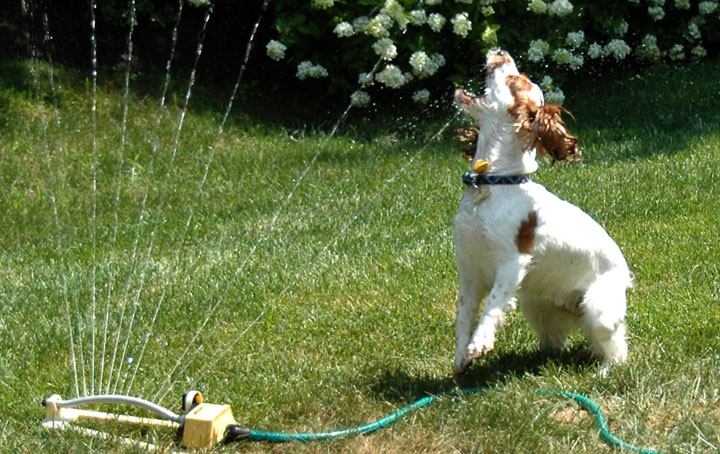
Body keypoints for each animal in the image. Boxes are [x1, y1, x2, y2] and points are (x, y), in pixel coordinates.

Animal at [452, 50, 632, 376]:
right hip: (534, 303)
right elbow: (465, 313)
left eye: (515, 79)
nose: (500, 52)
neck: (493, 184)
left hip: (598, 308)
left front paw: (479, 343)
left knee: (615, 346)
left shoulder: (511, 264)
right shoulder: (469, 270)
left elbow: (492, 304)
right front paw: (461, 357)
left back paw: (604, 371)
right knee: (555, 343)